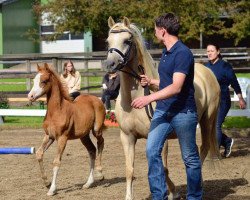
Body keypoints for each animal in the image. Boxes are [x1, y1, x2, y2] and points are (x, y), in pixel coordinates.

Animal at [27, 63, 106, 195]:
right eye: (34, 80)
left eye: (44, 81)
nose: (30, 96)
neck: (57, 111)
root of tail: (96, 99)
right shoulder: (49, 136)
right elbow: (39, 154)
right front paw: (47, 183)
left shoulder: (62, 138)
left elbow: (56, 161)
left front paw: (52, 189)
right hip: (83, 136)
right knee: (92, 150)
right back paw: (88, 183)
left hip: (96, 129)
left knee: (101, 142)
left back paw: (100, 173)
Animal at [105, 17, 221, 200]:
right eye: (108, 41)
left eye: (127, 41)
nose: (110, 64)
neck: (135, 100)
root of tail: (207, 71)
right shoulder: (127, 137)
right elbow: (129, 170)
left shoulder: (162, 138)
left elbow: (164, 169)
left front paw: (173, 192)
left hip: (207, 120)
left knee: (203, 149)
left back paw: (198, 185)